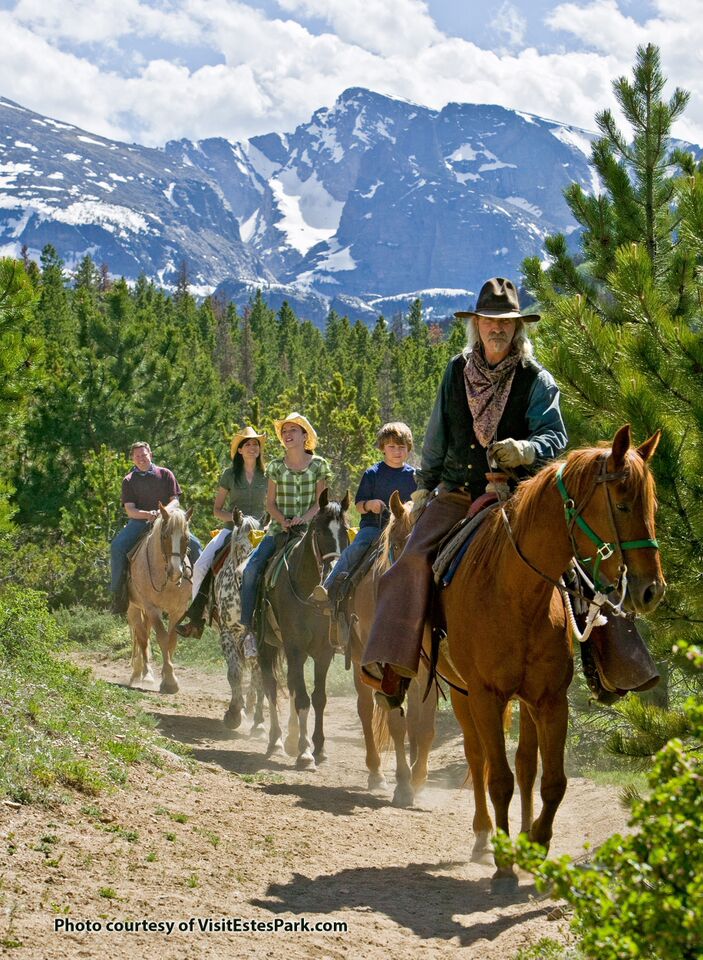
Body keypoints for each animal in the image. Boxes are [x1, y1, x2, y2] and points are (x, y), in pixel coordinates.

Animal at [127, 502, 194, 696]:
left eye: (186, 538)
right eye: (165, 536)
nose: (176, 572)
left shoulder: (177, 610)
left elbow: (172, 640)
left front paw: (168, 674)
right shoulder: (152, 608)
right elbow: (162, 638)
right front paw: (170, 681)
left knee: (145, 633)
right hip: (134, 608)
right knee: (142, 636)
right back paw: (143, 674)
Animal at [258, 492, 350, 768]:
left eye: (345, 531)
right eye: (319, 531)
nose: (334, 569)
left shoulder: (323, 652)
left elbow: (318, 698)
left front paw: (318, 747)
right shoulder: (296, 648)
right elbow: (301, 698)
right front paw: (305, 752)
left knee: (289, 684)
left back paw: (290, 738)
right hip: (266, 645)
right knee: (271, 686)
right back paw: (276, 740)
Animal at [350, 492, 438, 808]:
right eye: (397, 545)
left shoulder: (426, 669)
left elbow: (424, 726)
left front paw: (418, 779)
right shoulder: (381, 667)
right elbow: (395, 723)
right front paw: (403, 785)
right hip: (358, 658)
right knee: (366, 710)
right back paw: (376, 773)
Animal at [434, 428, 664, 884]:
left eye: (652, 505)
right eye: (623, 504)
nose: (652, 590)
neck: (516, 592)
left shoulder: (550, 700)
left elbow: (551, 779)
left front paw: (535, 844)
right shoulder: (486, 696)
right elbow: (499, 778)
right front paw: (504, 862)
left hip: (523, 702)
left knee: (525, 763)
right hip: (461, 692)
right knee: (477, 757)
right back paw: (484, 836)